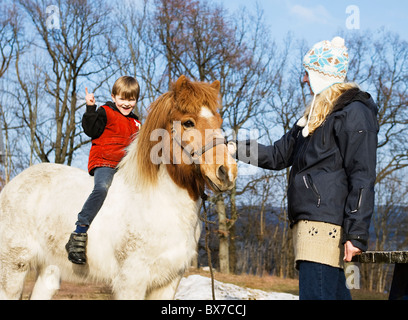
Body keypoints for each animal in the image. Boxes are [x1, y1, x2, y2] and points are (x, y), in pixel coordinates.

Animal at [0, 75, 236, 300]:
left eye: (219, 120)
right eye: (188, 122)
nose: (226, 171)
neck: (160, 202)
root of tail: (12, 186)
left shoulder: (168, 282)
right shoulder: (132, 279)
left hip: (49, 270)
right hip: (12, 269)